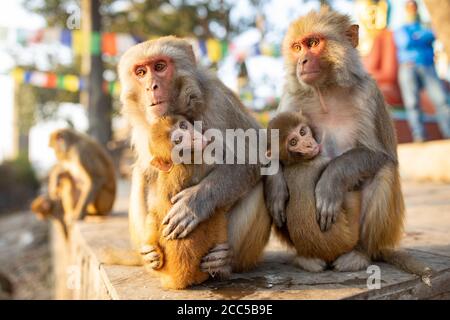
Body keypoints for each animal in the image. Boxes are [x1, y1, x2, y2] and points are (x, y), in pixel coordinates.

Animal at [140, 115, 229, 290]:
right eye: (179, 141)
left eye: (183, 125)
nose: (194, 137)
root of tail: (180, 278)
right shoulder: (202, 161)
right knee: (218, 212)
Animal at [268, 111, 360, 272]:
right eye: (293, 142)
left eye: (302, 132)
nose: (309, 144)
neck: (300, 161)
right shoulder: (323, 160)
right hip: (350, 237)